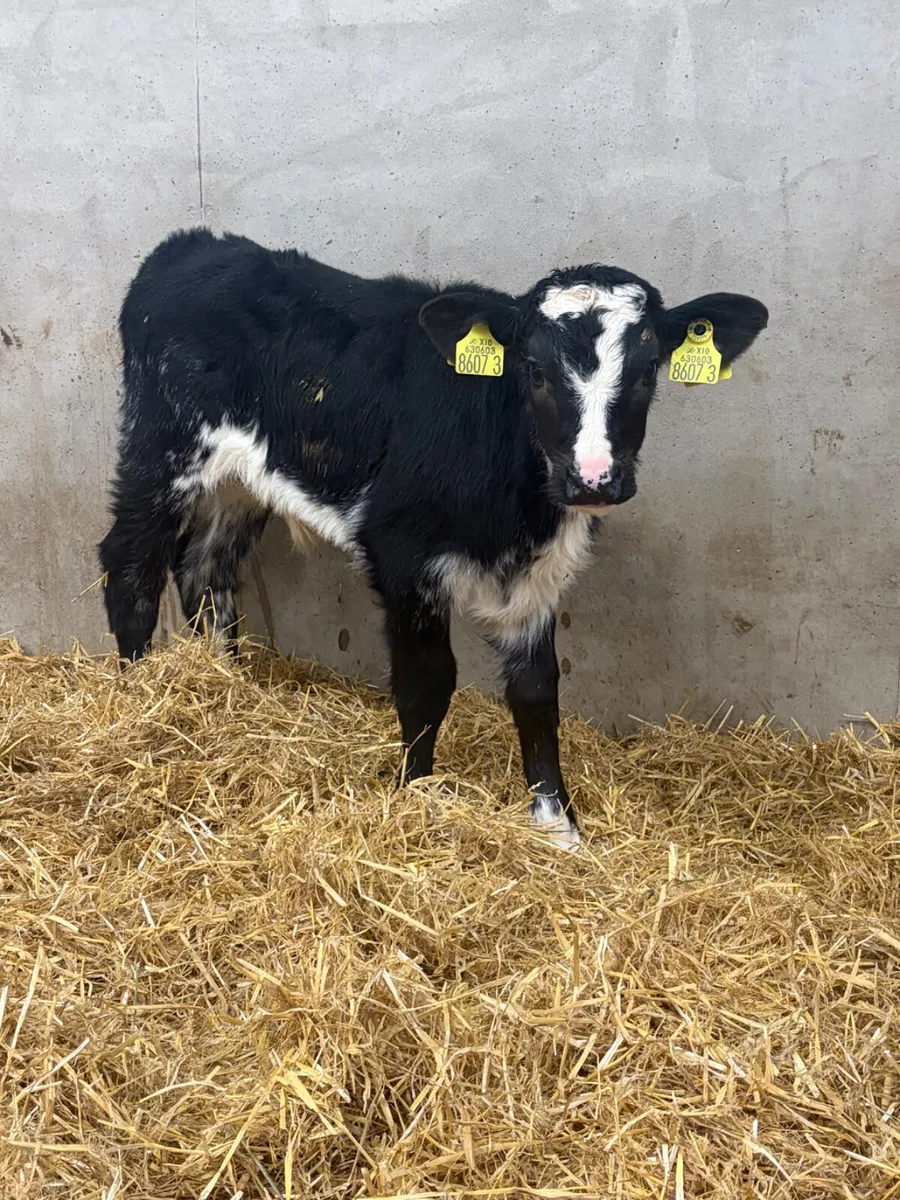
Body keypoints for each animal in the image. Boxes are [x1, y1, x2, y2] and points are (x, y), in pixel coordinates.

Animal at [99, 228, 767, 848]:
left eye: (649, 370)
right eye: (534, 370)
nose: (594, 478)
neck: (517, 504)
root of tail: (193, 245)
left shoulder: (540, 574)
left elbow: (537, 692)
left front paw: (556, 824)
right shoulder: (400, 553)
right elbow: (427, 682)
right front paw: (415, 797)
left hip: (238, 483)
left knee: (205, 574)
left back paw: (224, 690)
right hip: (160, 447)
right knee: (130, 564)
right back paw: (136, 700)